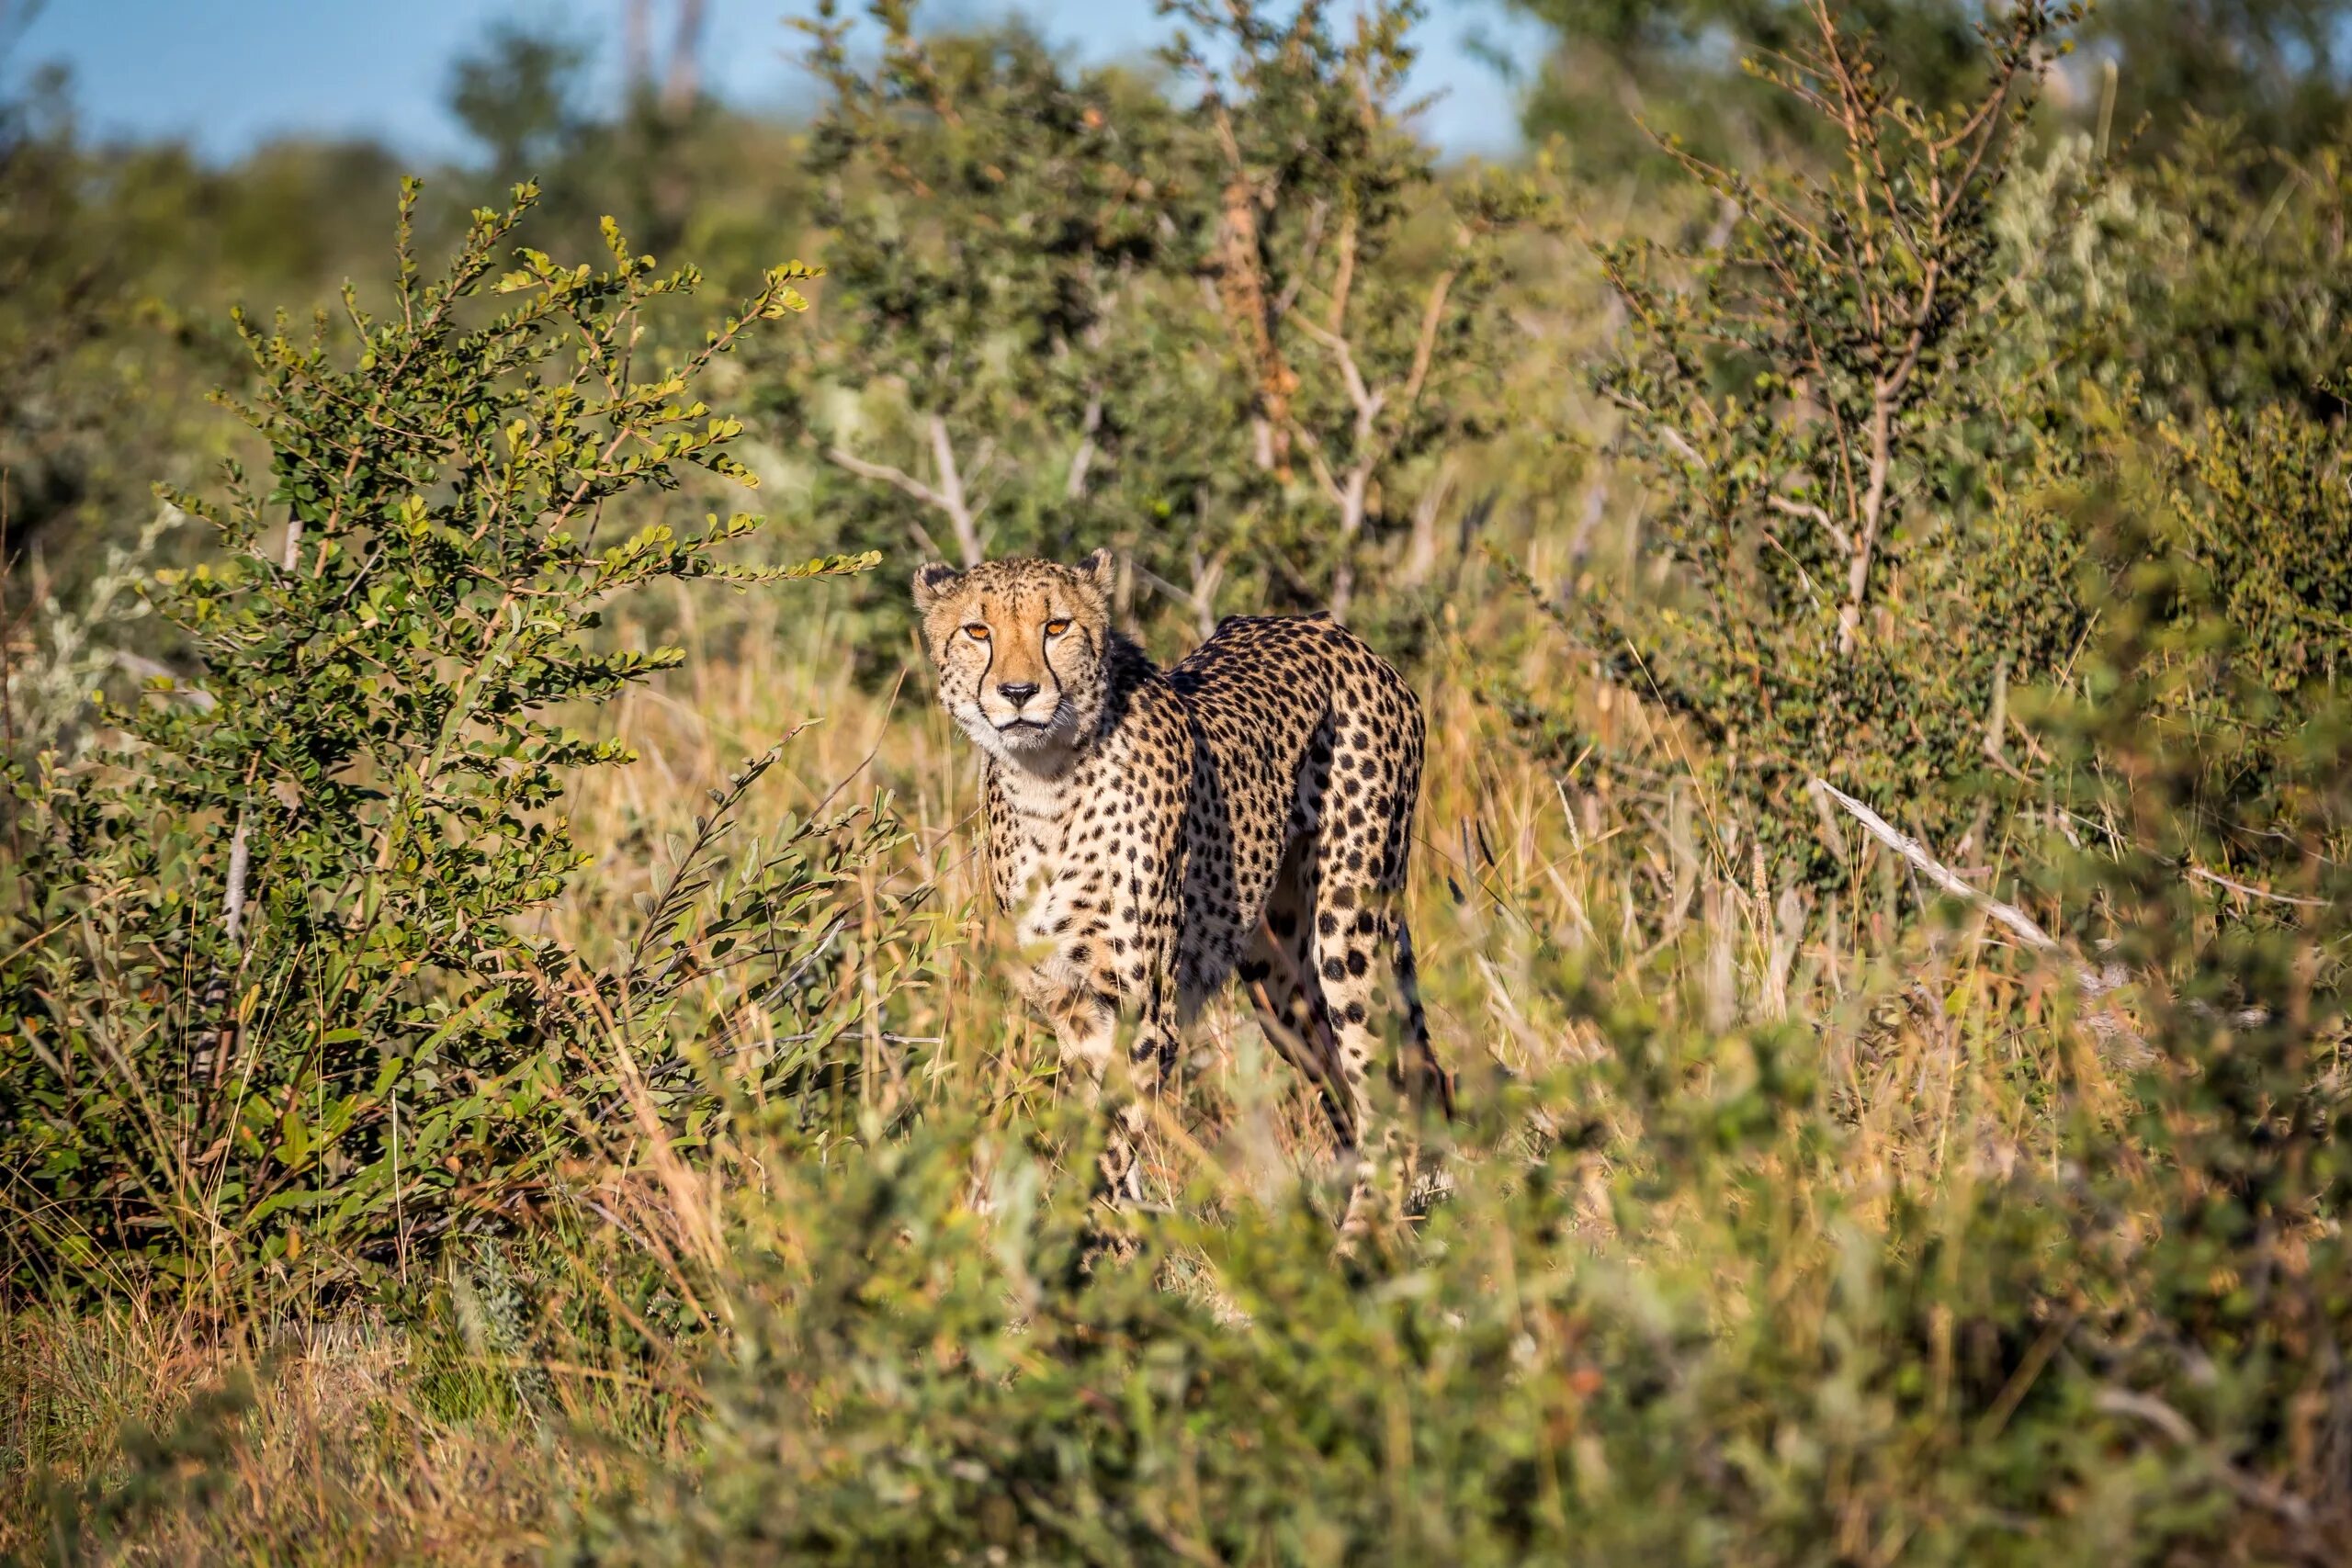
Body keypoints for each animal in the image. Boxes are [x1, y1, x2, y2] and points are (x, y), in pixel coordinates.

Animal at [917, 549, 1448, 1222]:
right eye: (977, 631)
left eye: (1056, 626)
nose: (1018, 693)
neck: (1047, 782)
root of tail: (1329, 627)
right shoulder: (1072, 1005)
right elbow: (1100, 1133)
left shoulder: (1147, 1006)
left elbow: (1109, 1145)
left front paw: (1089, 1231)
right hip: (1280, 981)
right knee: (1359, 1095)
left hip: (1349, 929)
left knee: (1390, 1098)